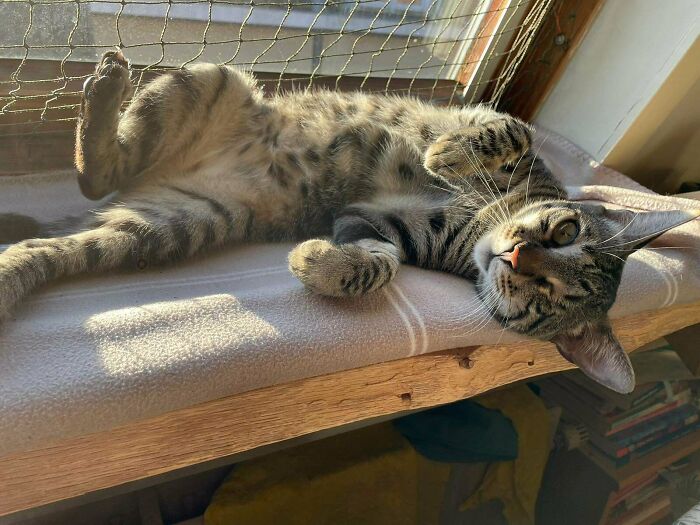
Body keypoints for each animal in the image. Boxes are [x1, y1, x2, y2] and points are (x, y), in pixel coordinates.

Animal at [0, 51, 696, 390]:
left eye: (550, 297)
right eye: (564, 232)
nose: (519, 256)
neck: (472, 229)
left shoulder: (373, 223)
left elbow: (380, 263)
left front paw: (319, 264)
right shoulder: (512, 152)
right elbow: (510, 128)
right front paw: (446, 153)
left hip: (178, 221)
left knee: (74, 220)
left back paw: (11, 276)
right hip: (213, 79)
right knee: (100, 172)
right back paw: (105, 87)